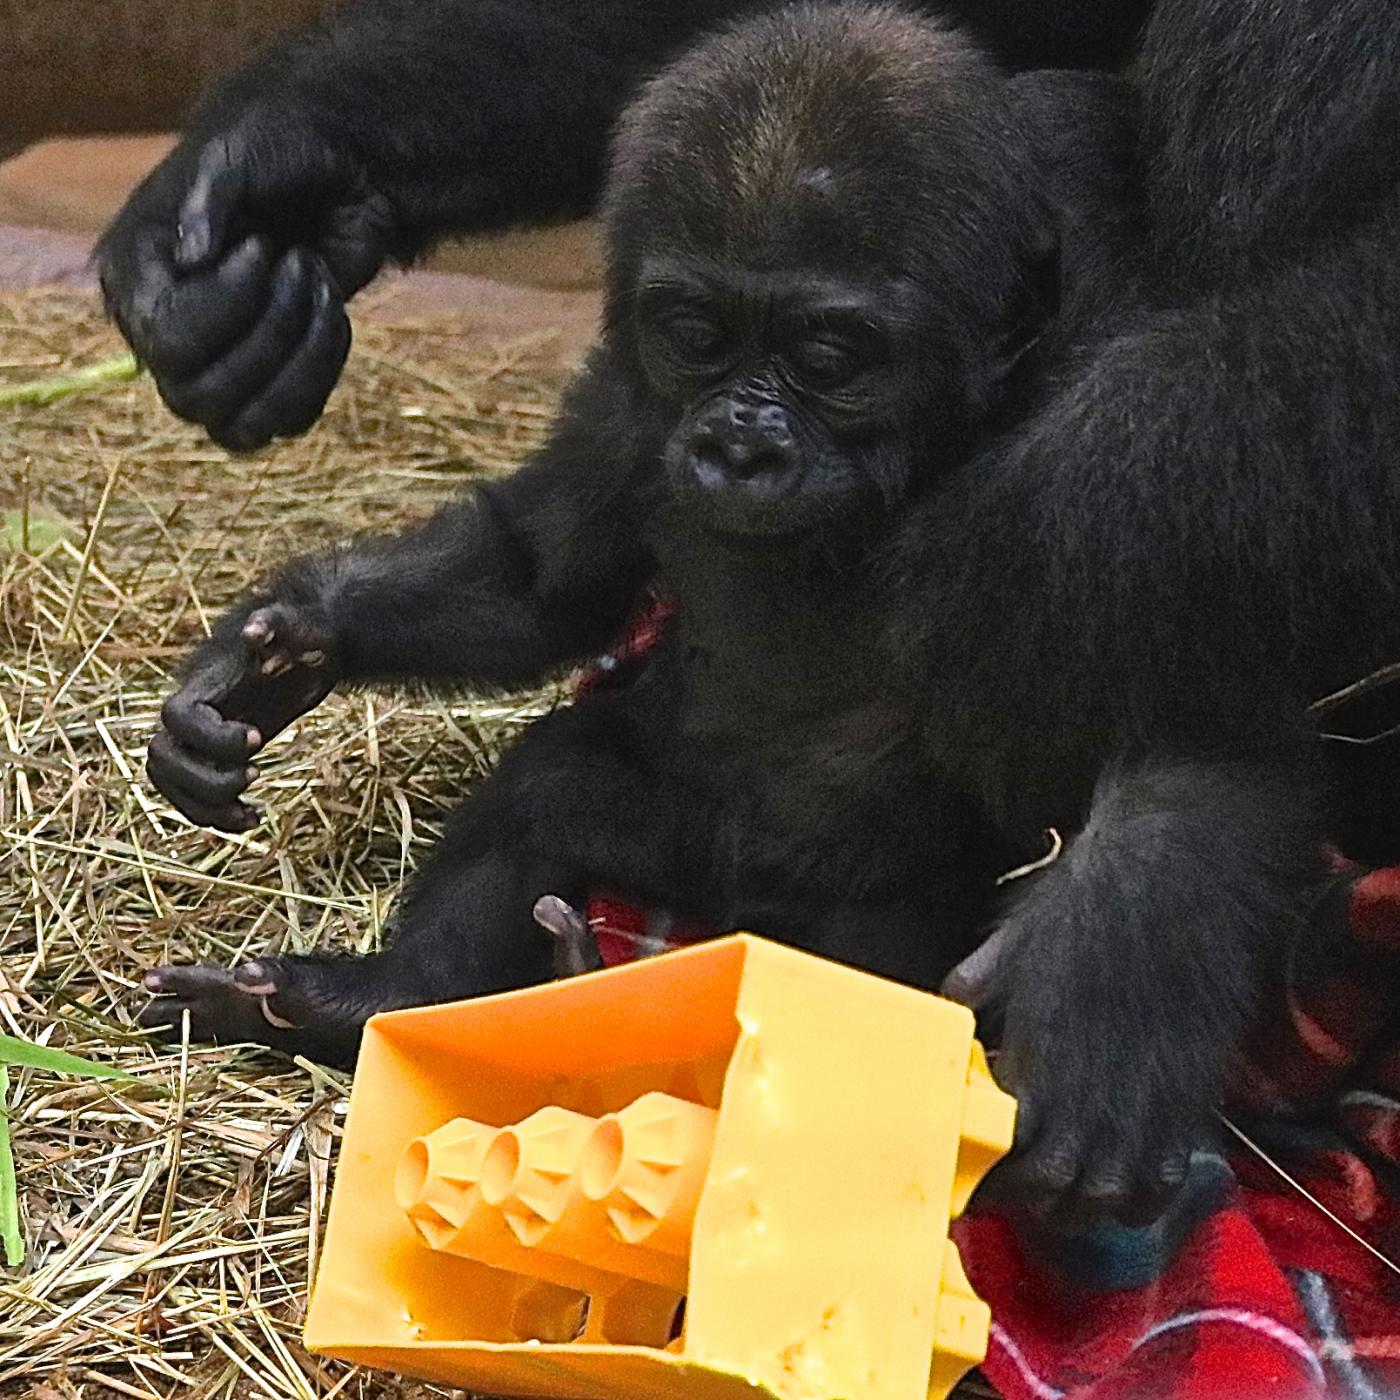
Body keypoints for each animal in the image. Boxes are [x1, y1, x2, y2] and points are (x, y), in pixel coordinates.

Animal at [144, 10, 1041, 1064]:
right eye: (697, 333)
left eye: (827, 357)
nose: (741, 443)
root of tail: (730, 913)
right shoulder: (627, 393)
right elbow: (537, 578)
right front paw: (273, 655)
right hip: (670, 843)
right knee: (555, 788)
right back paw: (386, 996)